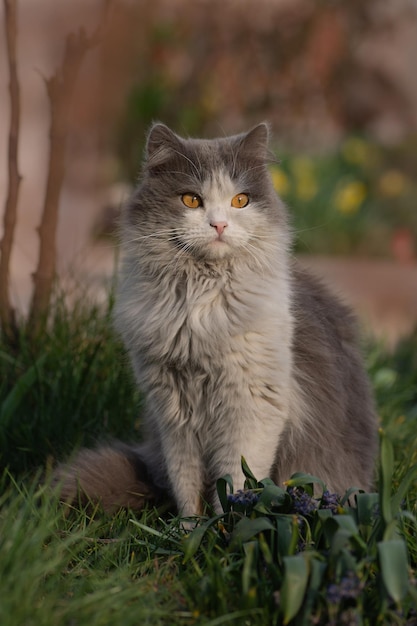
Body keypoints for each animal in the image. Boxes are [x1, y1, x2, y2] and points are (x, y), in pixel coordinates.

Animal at [55, 123, 376, 516]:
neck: (199, 305)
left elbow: (235, 481)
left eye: (241, 200)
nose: (219, 225)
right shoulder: (172, 412)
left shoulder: (252, 408)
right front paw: (189, 527)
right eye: (191, 200)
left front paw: (226, 525)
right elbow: (187, 484)